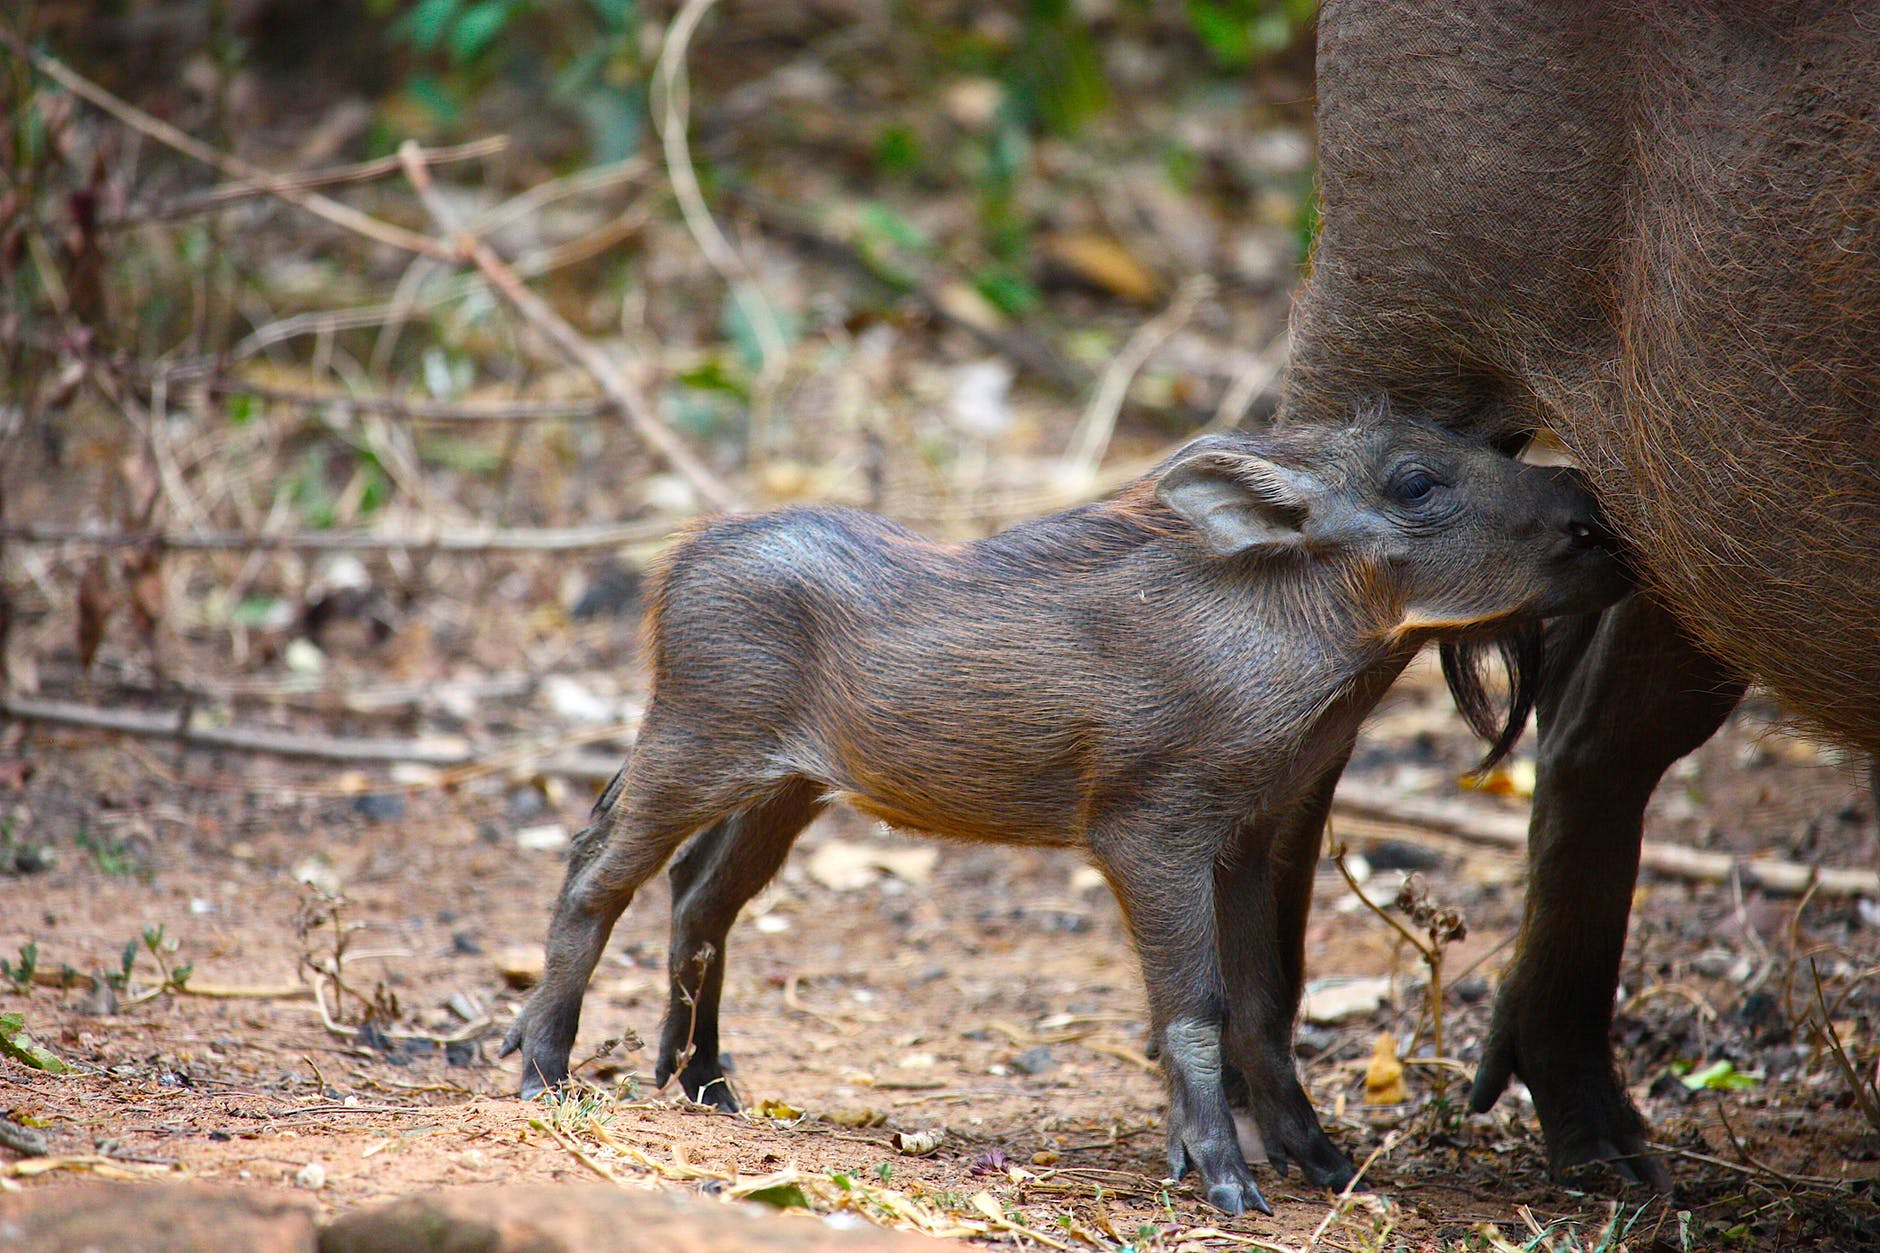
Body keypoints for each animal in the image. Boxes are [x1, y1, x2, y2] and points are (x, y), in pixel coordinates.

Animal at [501, 404, 1626, 1215]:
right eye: (1415, 481)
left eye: (1493, 442)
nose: (1600, 514)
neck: (1292, 634)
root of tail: (684, 556)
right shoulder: (1149, 832)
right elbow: (1196, 1005)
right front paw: (1226, 1184)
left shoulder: (1247, 834)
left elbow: (1266, 999)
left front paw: (1324, 1163)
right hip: (697, 740)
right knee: (596, 868)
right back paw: (542, 1071)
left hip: (786, 787)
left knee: (702, 899)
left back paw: (706, 1088)